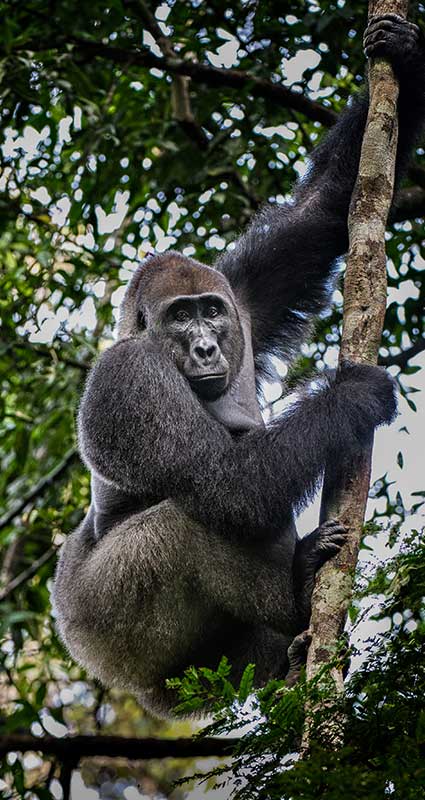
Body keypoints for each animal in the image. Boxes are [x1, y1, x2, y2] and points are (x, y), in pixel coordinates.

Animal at [53, 16, 425, 716]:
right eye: (179, 320)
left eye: (210, 313)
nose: (206, 348)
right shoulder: (130, 376)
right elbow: (229, 486)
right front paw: (352, 397)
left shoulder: (242, 300)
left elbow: (320, 217)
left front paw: (406, 57)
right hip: (109, 633)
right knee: (191, 519)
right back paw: (300, 591)